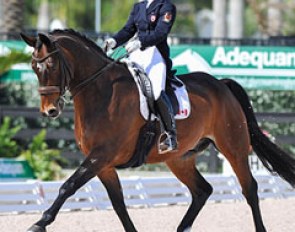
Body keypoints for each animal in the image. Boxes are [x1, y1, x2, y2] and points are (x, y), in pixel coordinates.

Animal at [20, 29, 295, 232]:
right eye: (33, 67)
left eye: (51, 65)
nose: (49, 111)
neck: (102, 91)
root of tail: (221, 84)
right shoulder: (103, 164)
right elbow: (118, 204)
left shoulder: (100, 156)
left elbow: (68, 186)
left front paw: (38, 224)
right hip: (179, 159)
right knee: (202, 191)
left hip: (234, 148)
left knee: (250, 189)